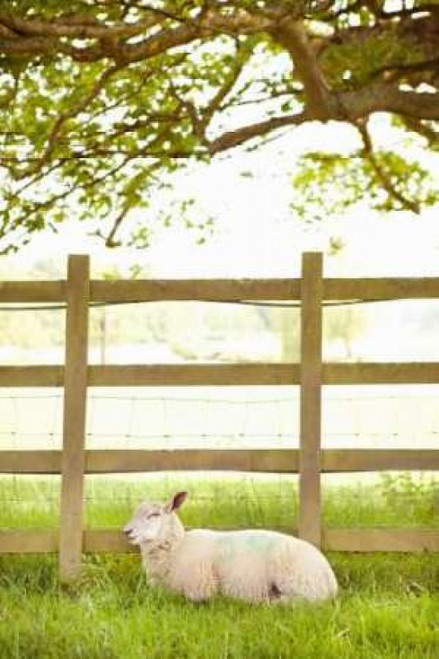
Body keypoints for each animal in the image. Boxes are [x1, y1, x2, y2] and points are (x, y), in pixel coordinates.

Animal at [123, 491, 338, 604]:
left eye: (154, 515)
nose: (126, 531)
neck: (177, 548)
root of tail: (330, 578)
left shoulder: (200, 589)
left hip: (300, 584)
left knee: (300, 603)